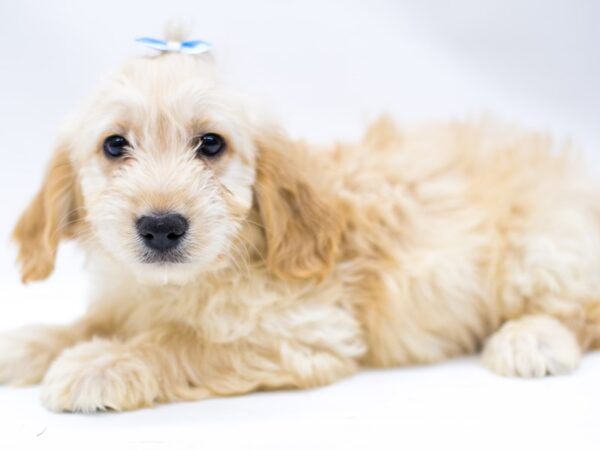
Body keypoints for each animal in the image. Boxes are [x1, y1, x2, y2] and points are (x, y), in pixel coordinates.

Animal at [1, 32, 600, 412]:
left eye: (211, 144)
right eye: (114, 145)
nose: (162, 227)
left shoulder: (307, 330)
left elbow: (181, 343)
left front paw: (99, 364)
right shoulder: (124, 300)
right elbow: (89, 321)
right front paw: (32, 342)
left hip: (540, 245)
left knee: (579, 307)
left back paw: (531, 339)